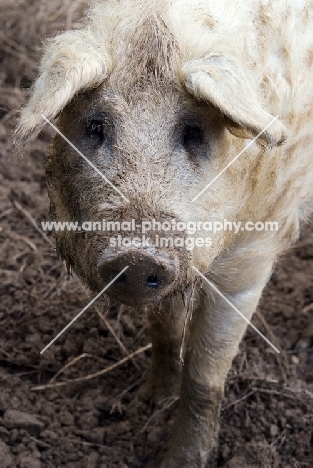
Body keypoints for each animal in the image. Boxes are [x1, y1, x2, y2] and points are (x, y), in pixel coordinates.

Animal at [15, 0, 312, 466]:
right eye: (96, 126)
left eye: (194, 131)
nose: (136, 256)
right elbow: (164, 329)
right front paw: (147, 402)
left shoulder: (253, 258)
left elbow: (206, 374)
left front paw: (181, 460)